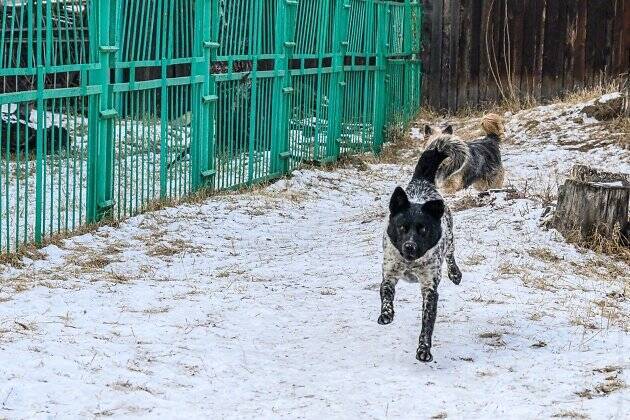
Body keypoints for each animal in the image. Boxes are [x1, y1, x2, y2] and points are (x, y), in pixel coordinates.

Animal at [380, 146, 464, 362]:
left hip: (449, 235)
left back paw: (455, 274)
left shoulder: (430, 289)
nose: (409, 246)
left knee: (450, 253)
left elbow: (427, 323)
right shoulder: (389, 275)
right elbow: (386, 295)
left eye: (423, 229)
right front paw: (386, 314)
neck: (411, 263)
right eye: (402, 227)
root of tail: (422, 181)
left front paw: (424, 349)